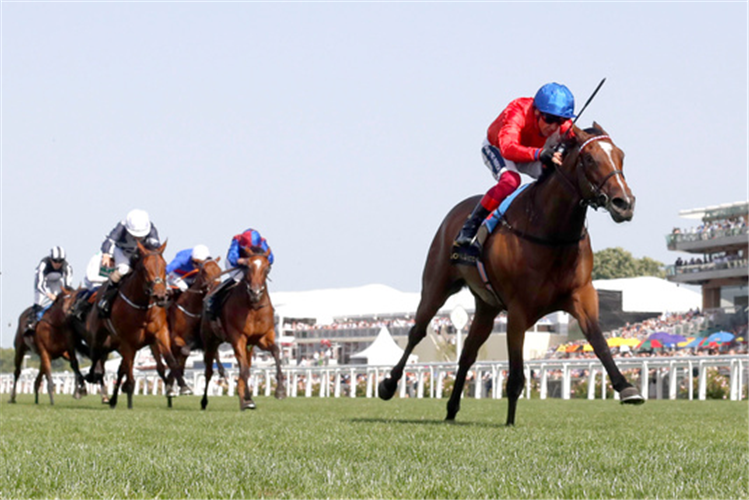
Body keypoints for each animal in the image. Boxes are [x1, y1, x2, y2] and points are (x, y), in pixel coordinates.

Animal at [80, 240, 187, 408]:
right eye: (144, 268)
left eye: (164, 266)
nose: (160, 295)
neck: (143, 307)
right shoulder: (127, 341)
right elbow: (128, 369)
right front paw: (128, 391)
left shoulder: (159, 334)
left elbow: (170, 361)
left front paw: (181, 387)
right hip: (99, 335)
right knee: (97, 355)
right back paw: (95, 380)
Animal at [199, 249, 286, 410]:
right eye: (247, 267)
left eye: (267, 268)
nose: (255, 292)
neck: (254, 308)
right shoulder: (238, 338)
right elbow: (243, 369)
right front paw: (245, 400)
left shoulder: (262, 338)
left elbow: (276, 352)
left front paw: (280, 391)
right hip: (210, 341)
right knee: (209, 371)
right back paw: (204, 401)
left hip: (247, 346)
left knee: (246, 365)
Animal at [380, 123, 644, 424]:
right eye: (589, 158)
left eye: (621, 155)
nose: (624, 202)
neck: (552, 232)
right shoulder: (518, 310)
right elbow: (516, 373)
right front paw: (510, 422)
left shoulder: (582, 295)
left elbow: (598, 341)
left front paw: (627, 388)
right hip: (437, 284)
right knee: (417, 331)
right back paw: (388, 384)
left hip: (487, 306)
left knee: (468, 352)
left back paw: (451, 409)